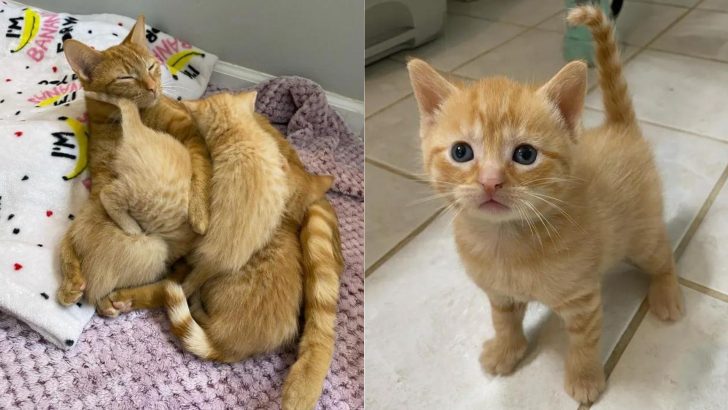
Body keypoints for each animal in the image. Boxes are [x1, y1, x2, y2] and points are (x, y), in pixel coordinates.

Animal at [56, 16, 210, 308]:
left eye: (151, 66)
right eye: (126, 77)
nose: (152, 87)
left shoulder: (191, 133)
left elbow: (201, 167)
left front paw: (199, 211)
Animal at [410, 4, 684, 406]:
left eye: (525, 155)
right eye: (461, 152)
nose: (490, 181)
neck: (506, 243)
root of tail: (618, 127)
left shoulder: (583, 298)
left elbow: (585, 341)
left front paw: (585, 378)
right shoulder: (499, 294)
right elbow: (504, 321)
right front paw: (507, 350)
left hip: (641, 235)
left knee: (662, 253)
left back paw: (667, 293)